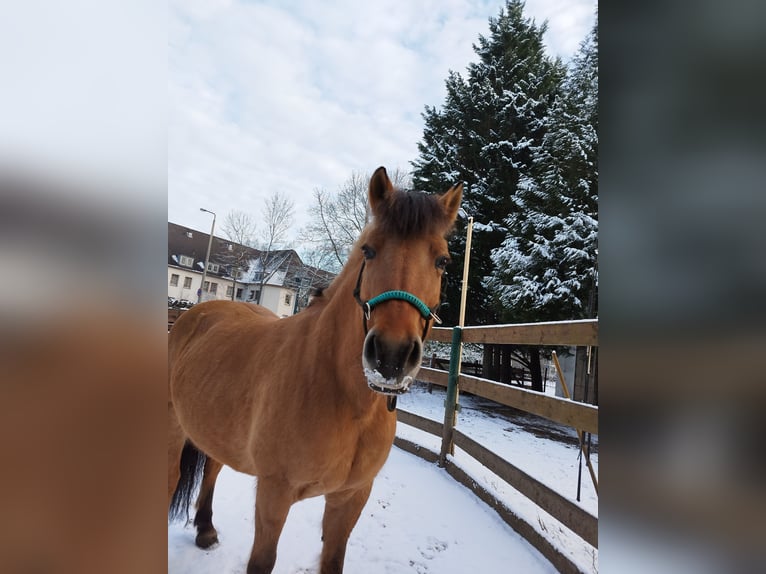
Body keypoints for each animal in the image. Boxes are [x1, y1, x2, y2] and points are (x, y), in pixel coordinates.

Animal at [168, 168, 462, 574]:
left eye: (443, 261)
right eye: (369, 250)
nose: (391, 355)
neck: (345, 399)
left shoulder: (350, 500)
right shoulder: (274, 495)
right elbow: (261, 562)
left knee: (212, 467)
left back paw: (206, 529)